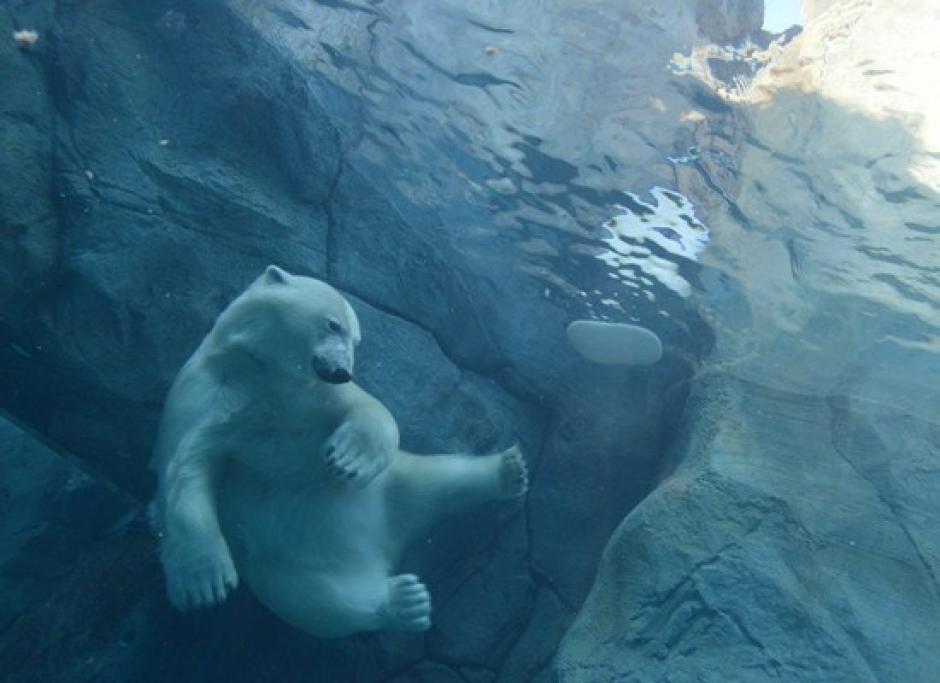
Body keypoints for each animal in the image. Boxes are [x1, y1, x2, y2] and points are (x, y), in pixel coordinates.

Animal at [149, 265, 528, 638]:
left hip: (390, 486)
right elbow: (187, 469)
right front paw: (203, 583)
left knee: (440, 480)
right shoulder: (207, 399)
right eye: (333, 324)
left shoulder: (307, 395)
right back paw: (404, 601)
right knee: (320, 603)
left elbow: (371, 410)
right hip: (282, 568)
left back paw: (508, 471)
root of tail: (378, 552)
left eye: (355, 340)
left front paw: (347, 460)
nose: (343, 371)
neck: (258, 368)